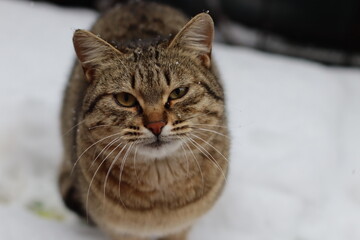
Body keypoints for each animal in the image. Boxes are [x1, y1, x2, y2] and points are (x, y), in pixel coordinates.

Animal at [58, 1, 229, 240]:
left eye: (178, 92)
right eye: (125, 99)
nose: (156, 125)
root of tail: (136, 3)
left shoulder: (180, 228)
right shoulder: (120, 230)